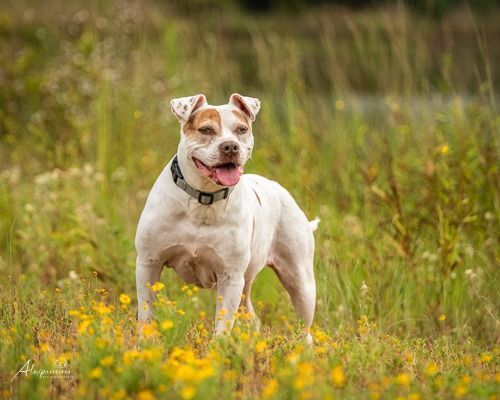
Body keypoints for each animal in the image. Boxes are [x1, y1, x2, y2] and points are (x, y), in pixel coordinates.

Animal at [135, 93, 318, 340]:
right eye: (205, 130)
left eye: (241, 129)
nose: (230, 146)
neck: (203, 199)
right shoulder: (148, 263)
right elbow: (146, 313)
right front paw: (145, 343)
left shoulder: (230, 277)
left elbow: (222, 326)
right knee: (252, 318)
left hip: (300, 282)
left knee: (304, 329)